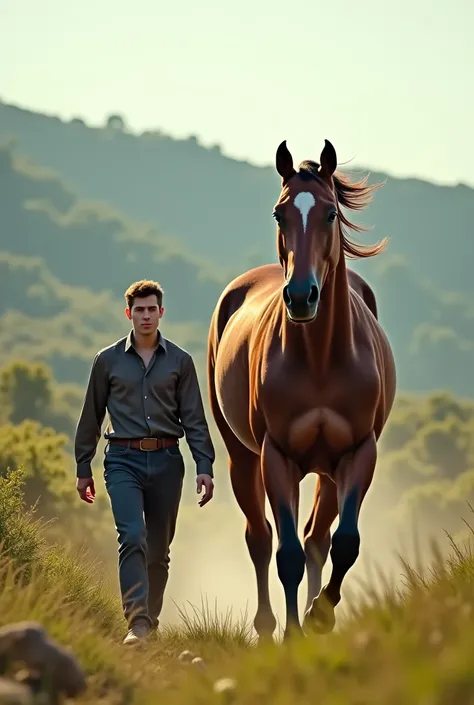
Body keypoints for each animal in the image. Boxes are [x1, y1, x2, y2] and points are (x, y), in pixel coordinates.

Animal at [207, 138, 396, 640]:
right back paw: (267, 626)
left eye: (330, 213)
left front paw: (319, 615)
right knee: (260, 537)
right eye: (279, 213)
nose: (300, 296)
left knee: (317, 537)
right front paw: (293, 632)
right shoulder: (277, 456)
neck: (320, 361)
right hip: (243, 456)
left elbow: (344, 543)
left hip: (328, 470)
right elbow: (285, 552)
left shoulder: (358, 451)